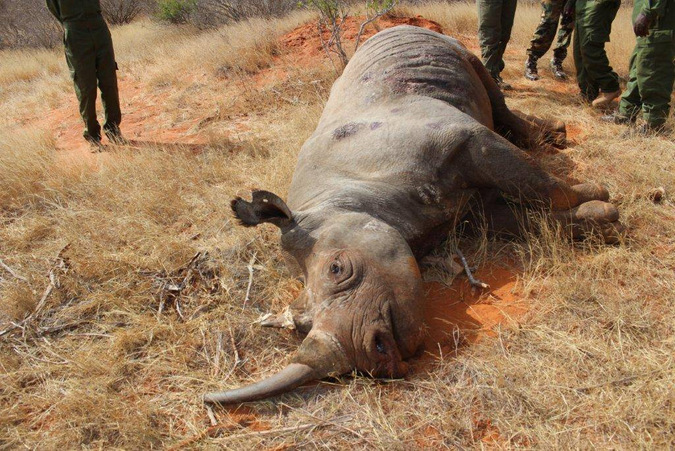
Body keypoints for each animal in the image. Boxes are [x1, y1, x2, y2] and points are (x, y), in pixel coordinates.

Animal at [205, 24, 624, 406]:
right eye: (302, 321)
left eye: (338, 270)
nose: (369, 361)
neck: (338, 199)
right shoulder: (469, 211)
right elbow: (524, 219)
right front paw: (599, 217)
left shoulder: (458, 138)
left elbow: (539, 183)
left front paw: (597, 194)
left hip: (447, 51)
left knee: (488, 85)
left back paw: (550, 137)